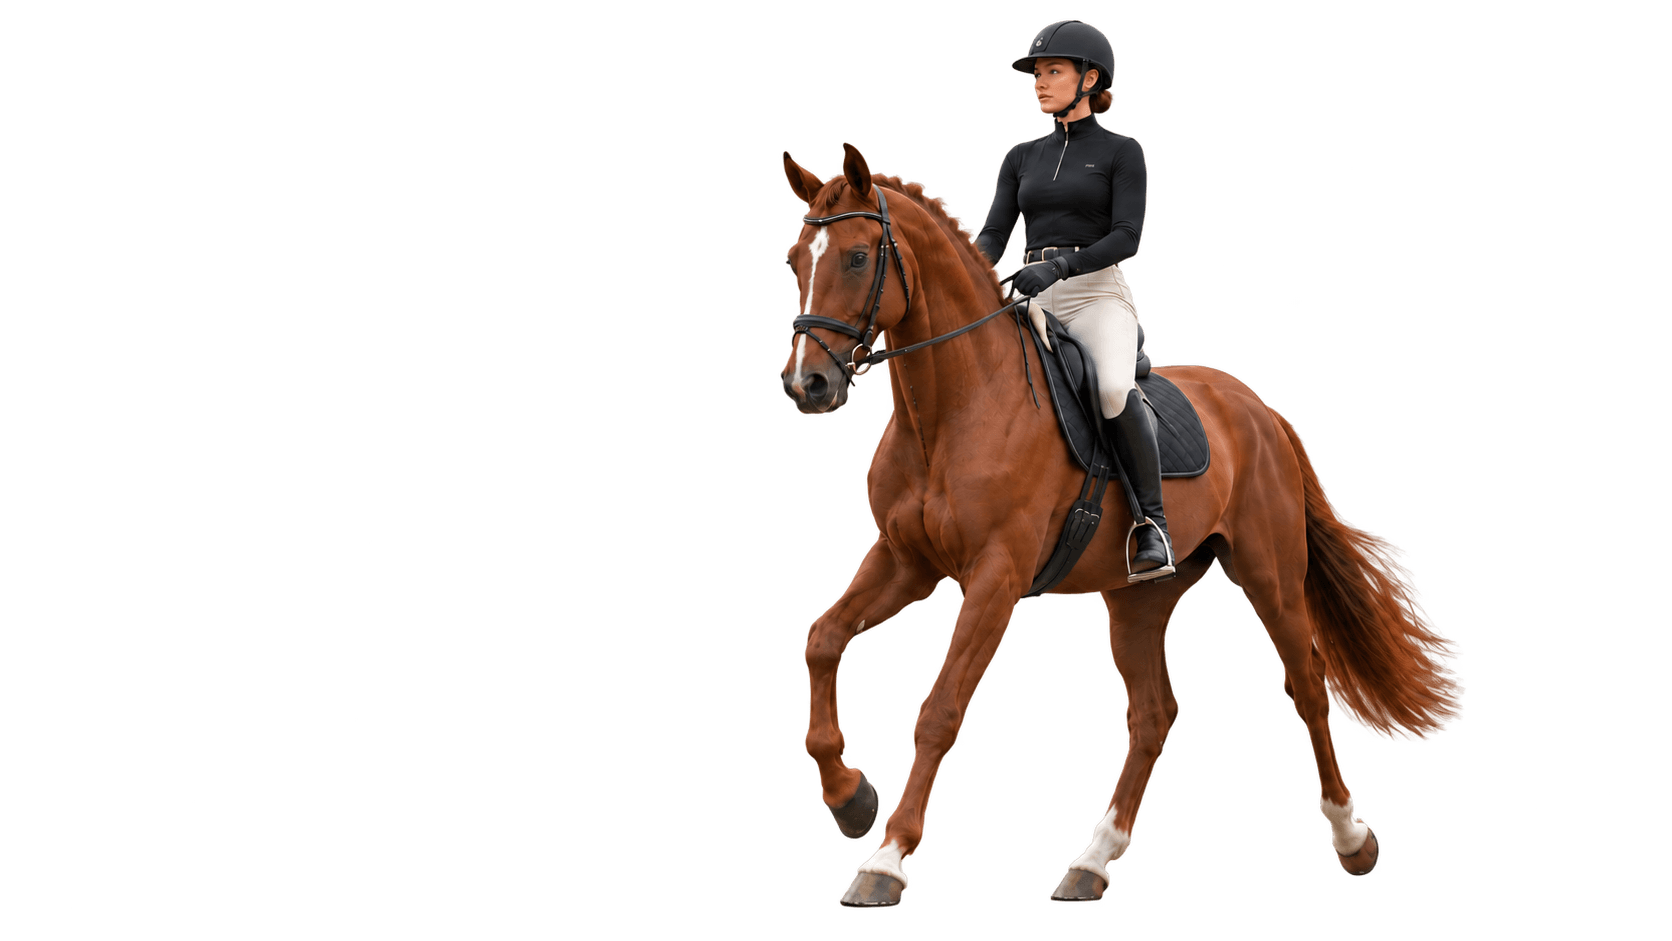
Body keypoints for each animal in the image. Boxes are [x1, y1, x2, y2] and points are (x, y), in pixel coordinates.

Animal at [777, 142, 1465, 909]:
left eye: (857, 257)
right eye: (795, 260)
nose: (807, 386)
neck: (954, 407)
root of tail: (1256, 408)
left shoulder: (995, 575)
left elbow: (939, 710)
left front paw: (886, 860)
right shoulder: (905, 560)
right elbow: (823, 640)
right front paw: (849, 798)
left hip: (1271, 577)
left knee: (1307, 685)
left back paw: (1351, 838)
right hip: (1141, 599)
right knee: (1155, 714)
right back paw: (1092, 861)